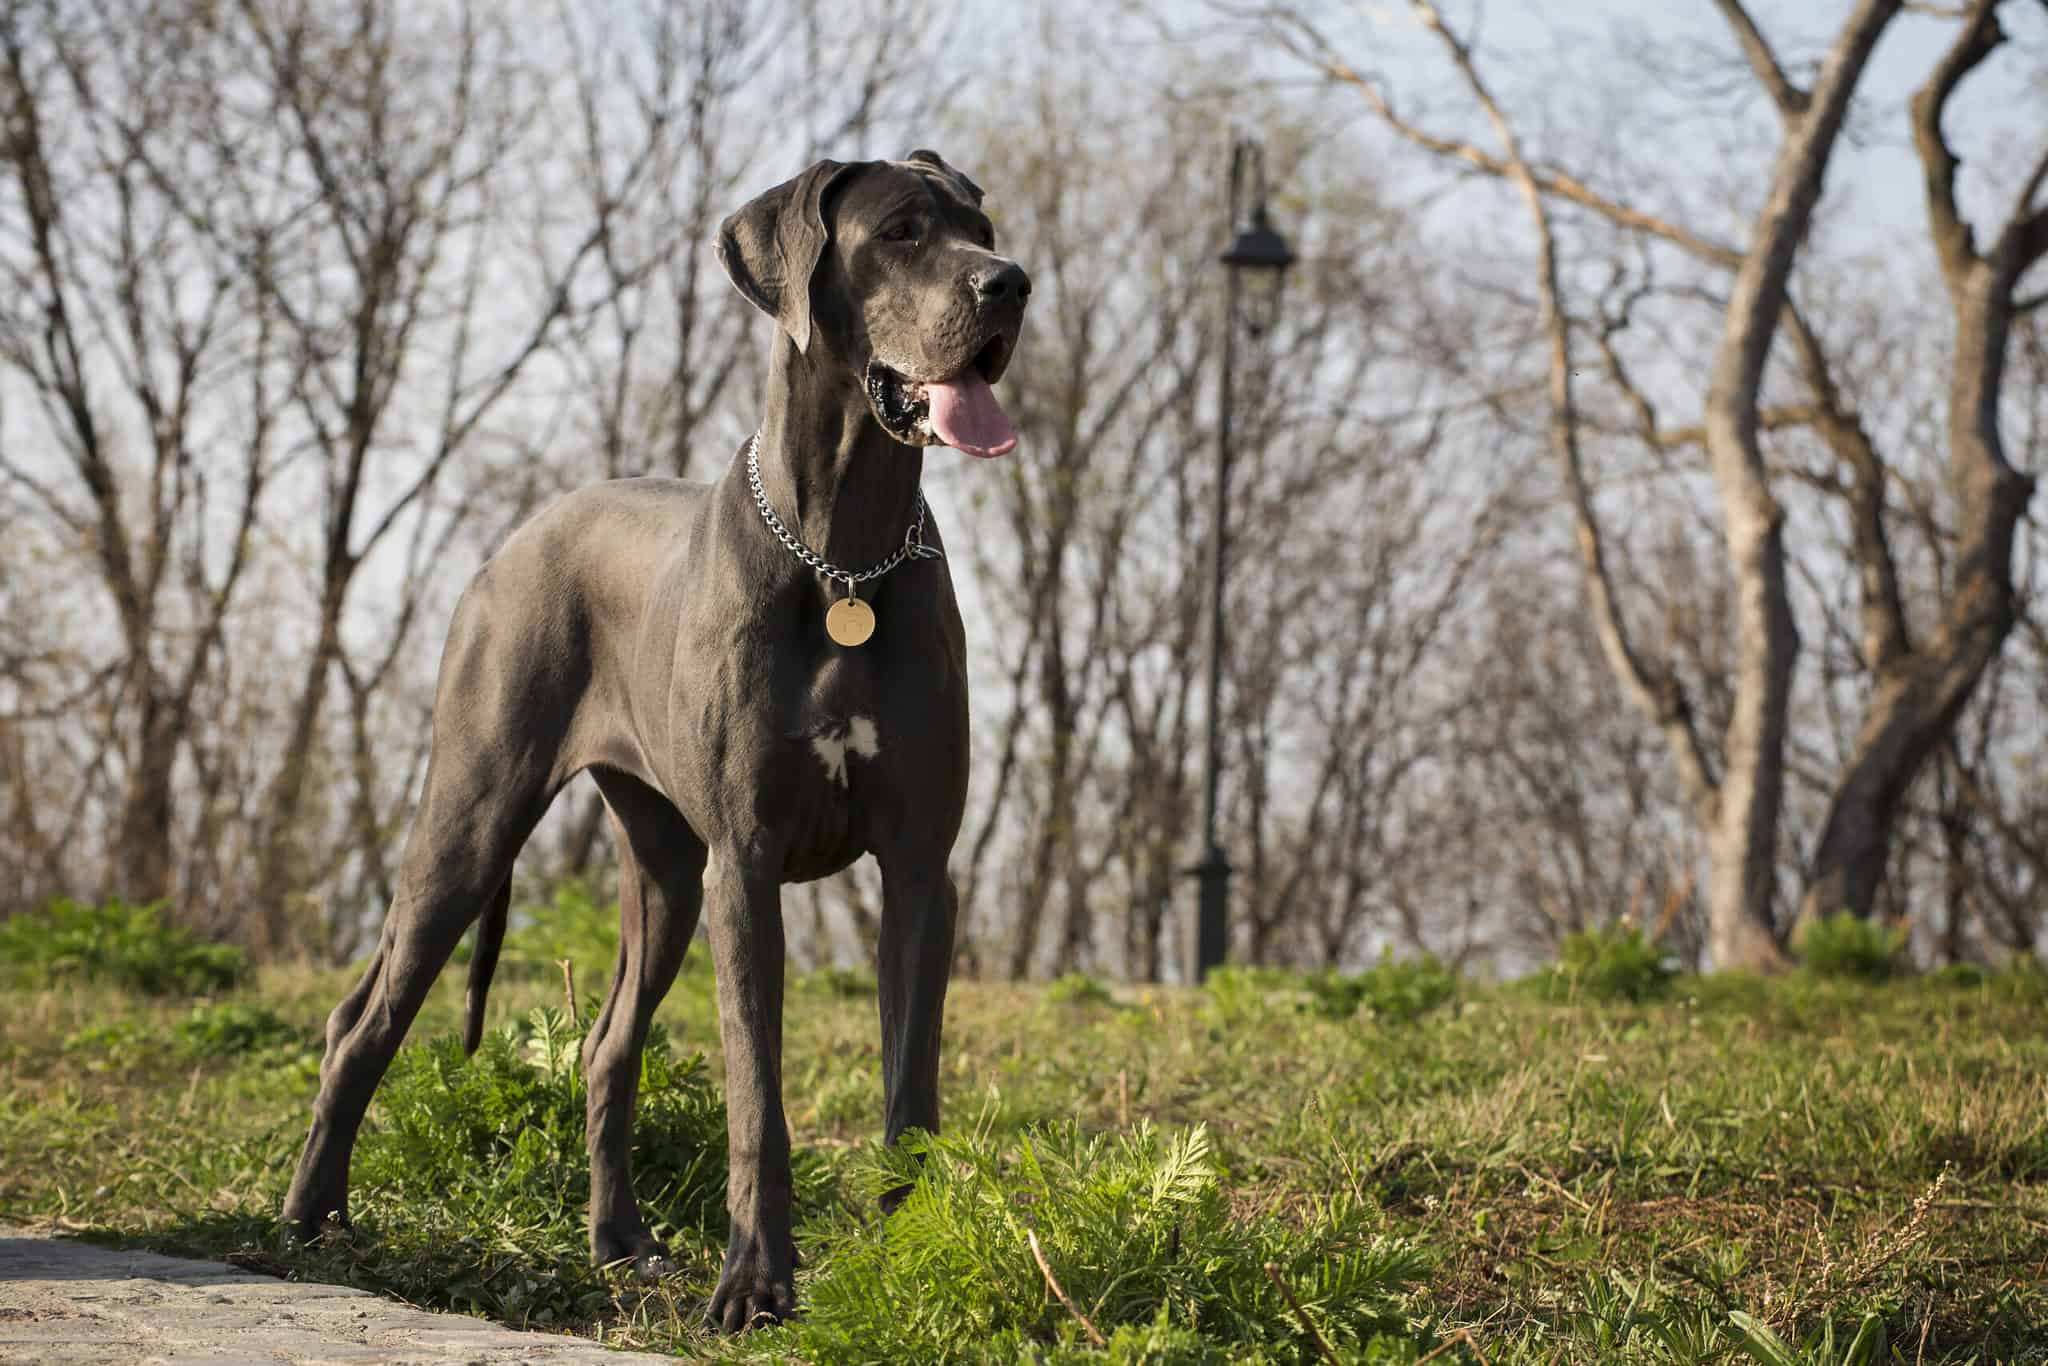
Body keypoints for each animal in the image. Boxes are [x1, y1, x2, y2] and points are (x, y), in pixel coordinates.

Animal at [280, 152, 1024, 1335]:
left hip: (665, 871)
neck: (845, 555)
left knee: (604, 1047)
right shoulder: (747, 866)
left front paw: (912, 1254)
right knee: (362, 1020)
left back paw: (622, 1245)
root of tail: (511, 542)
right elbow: (757, 1092)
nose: (1011, 285)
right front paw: (757, 1283)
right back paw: (312, 1220)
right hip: (472, 820)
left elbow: (911, 1083)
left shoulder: (919, 869)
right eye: (904, 232)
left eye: (981, 229)